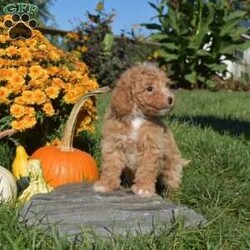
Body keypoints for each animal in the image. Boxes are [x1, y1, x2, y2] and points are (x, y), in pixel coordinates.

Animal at [94, 65, 189, 198]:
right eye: (149, 88)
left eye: (165, 85)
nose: (170, 99)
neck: (137, 117)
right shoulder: (114, 143)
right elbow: (110, 165)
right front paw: (106, 184)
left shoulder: (151, 147)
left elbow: (146, 169)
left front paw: (144, 189)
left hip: (172, 162)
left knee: (173, 179)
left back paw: (172, 195)